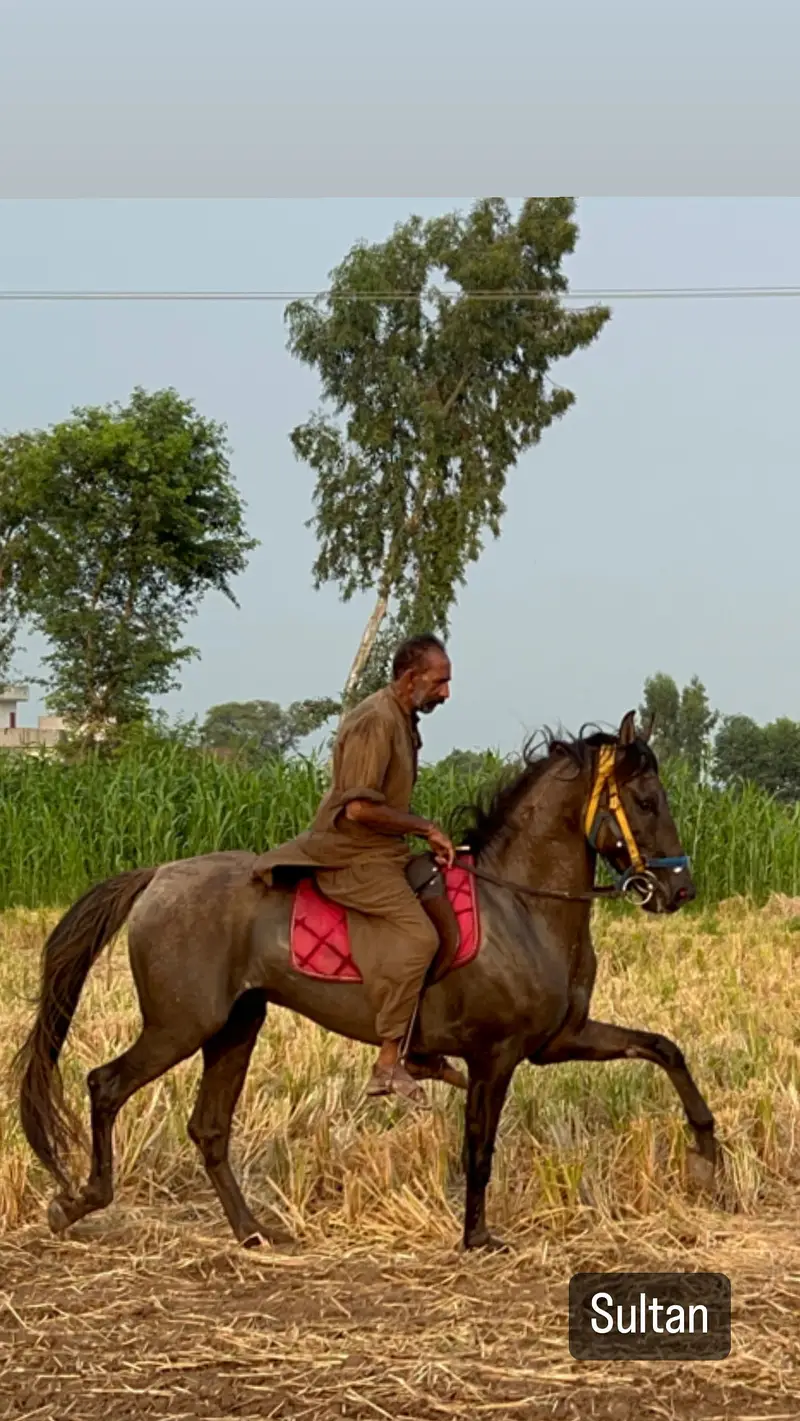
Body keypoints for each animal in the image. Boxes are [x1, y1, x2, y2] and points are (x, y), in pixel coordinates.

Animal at [15, 710, 717, 1252]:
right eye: (646, 801)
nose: (679, 889)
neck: (521, 904)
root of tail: (160, 875)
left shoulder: (559, 1039)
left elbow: (664, 1048)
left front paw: (707, 1151)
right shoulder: (495, 1056)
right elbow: (479, 1145)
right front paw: (477, 1238)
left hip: (236, 1026)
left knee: (208, 1128)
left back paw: (253, 1231)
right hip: (181, 1024)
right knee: (106, 1086)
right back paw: (77, 1200)